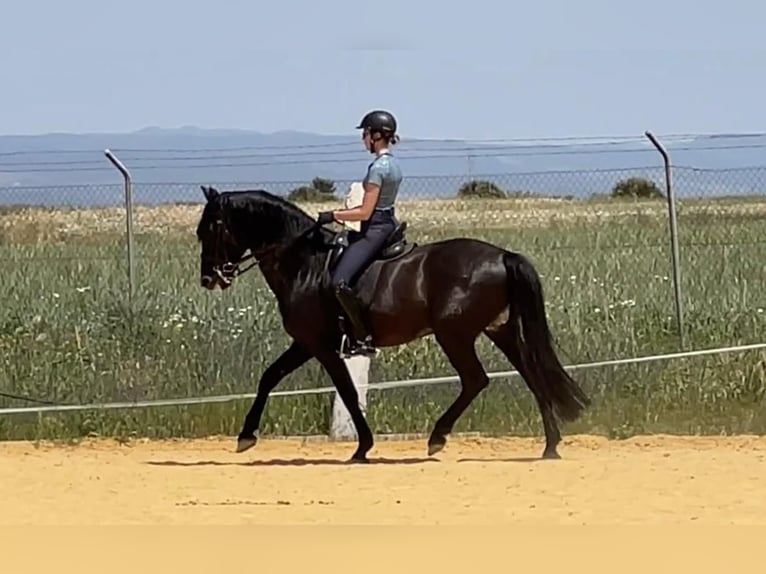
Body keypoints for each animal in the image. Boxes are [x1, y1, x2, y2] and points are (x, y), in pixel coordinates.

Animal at [195, 184, 591, 463]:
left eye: (210, 229)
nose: (210, 279)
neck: (306, 262)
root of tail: (502, 255)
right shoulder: (306, 344)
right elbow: (270, 377)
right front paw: (246, 436)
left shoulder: (321, 346)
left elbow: (348, 392)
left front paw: (362, 448)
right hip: (499, 330)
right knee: (532, 375)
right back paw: (550, 446)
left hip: (455, 334)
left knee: (476, 380)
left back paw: (438, 438)